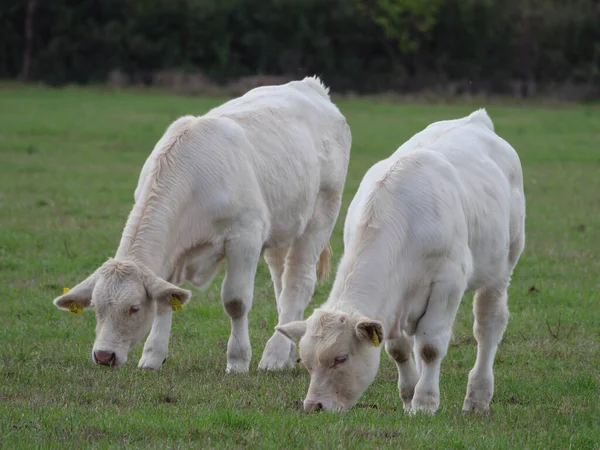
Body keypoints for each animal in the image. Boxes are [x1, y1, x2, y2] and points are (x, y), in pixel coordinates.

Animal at [52, 76, 352, 372]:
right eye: (96, 308)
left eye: (134, 308)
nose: (104, 356)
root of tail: (311, 86)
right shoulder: (174, 250)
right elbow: (166, 300)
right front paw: (152, 356)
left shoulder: (245, 237)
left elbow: (235, 301)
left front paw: (238, 360)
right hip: (284, 227)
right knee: (283, 283)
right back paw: (289, 352)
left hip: (322, 213)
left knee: (298, 282)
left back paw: (274, 357)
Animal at [278, 109, 524, 414]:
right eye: (307, 362)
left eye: (341, 358)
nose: (314, 406)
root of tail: (477, 120)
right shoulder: (392, 301)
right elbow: (399, 349)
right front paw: (409, 396)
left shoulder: (448, 283)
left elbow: (431, 347)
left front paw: (424, 402)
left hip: (501, 268)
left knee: (488, 326)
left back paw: (477, 397)